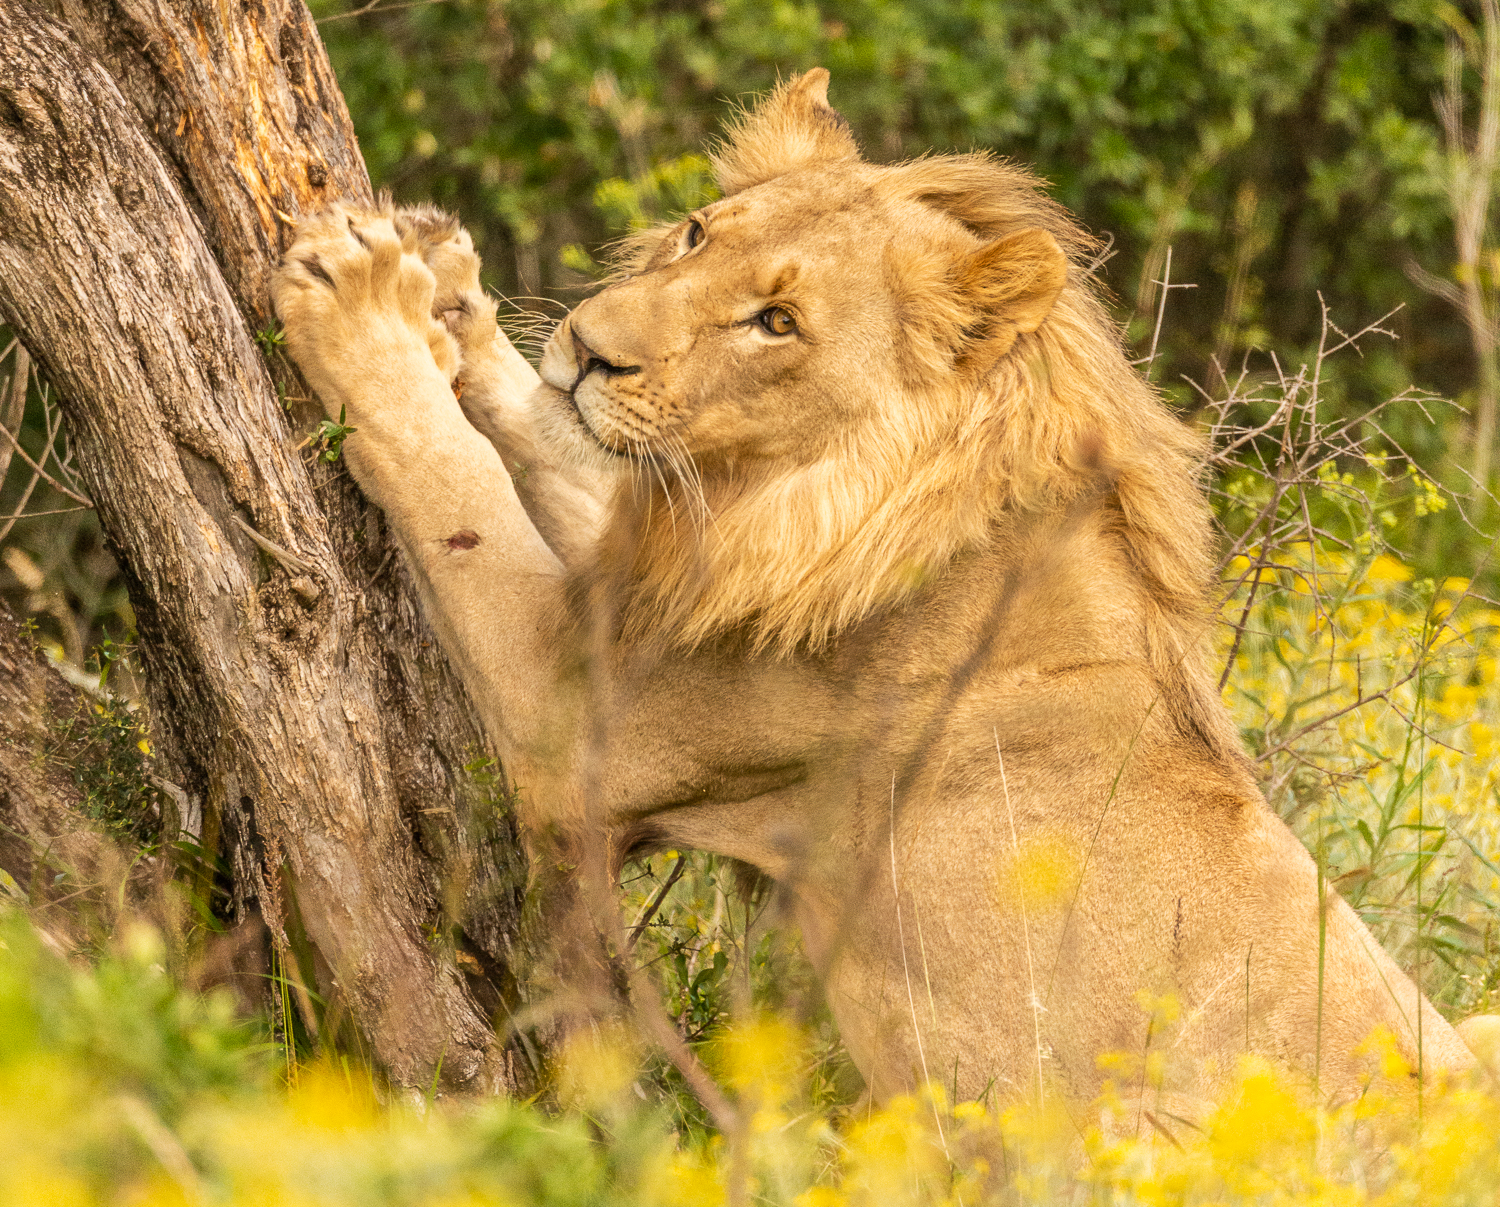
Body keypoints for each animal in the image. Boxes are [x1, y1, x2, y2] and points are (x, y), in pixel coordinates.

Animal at [270, 70, 1476, 1109]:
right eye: (700, 231)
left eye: (777, 324)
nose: (588, 345)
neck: (810, 501)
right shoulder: (676, 565)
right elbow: (543, 441)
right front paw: (443, 276)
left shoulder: (576, 726)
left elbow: (449, 481)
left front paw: (366, 303)